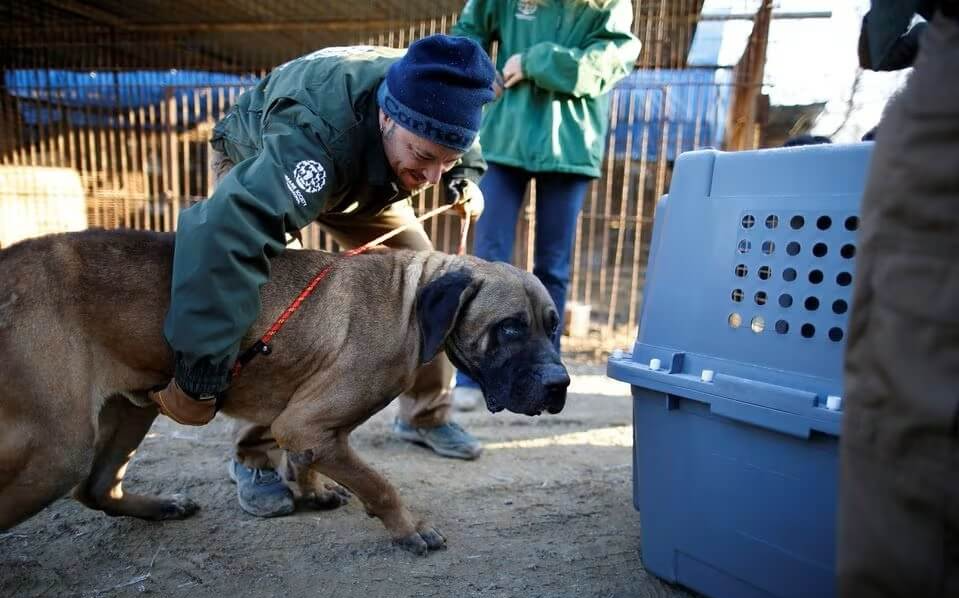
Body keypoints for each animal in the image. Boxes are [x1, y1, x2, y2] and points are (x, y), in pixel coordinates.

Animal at [0, 231, 568, 556]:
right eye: (510, 328)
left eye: (554, 325)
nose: (560, 384)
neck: (409, 302)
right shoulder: (305, 423)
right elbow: (380, 484)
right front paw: (409, 528)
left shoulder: (308, 426)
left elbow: (308, 459)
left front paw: (313, 490)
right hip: (59, 450)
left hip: (131, 410)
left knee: (97, 490)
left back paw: (161, 506)